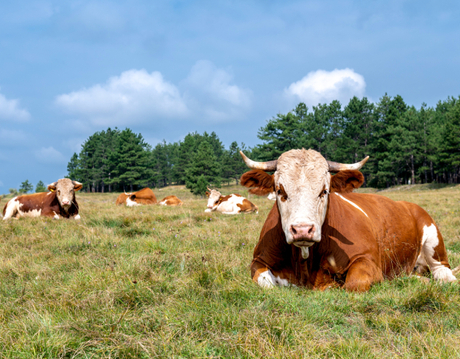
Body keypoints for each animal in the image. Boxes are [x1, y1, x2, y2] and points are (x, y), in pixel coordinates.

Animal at [239, 149, 458, 292]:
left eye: (324, 191)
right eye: (279, 190)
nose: (302, 230)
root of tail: (409, 204)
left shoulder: (367, 260)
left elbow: (354, 283)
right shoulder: (258, 260)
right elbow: (265, 283)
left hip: (433, 240)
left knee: (442, 271)